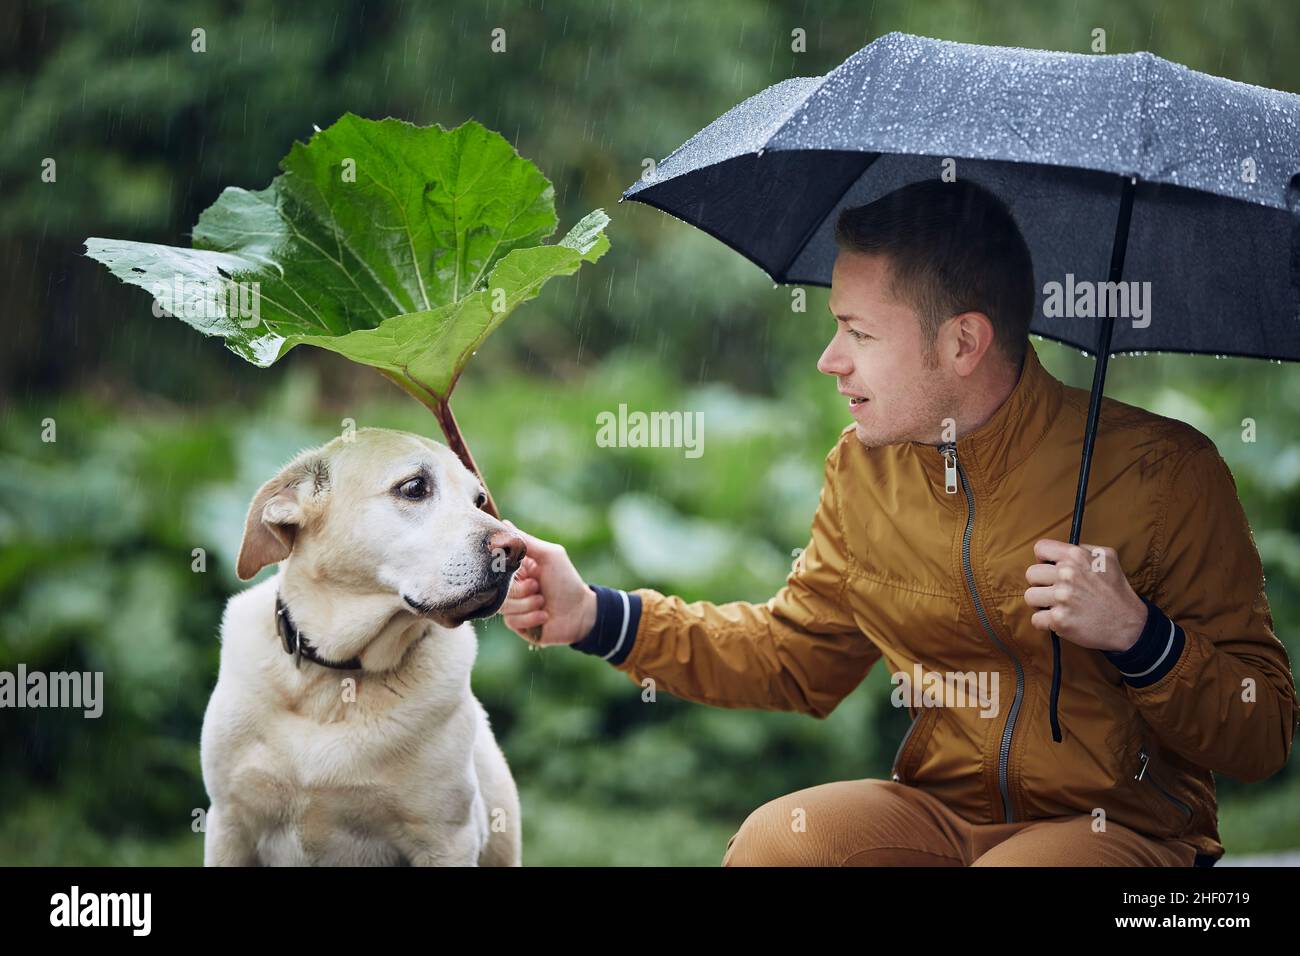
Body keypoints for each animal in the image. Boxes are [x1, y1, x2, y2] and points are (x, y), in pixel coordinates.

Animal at [198, 429, 522, 868]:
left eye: (479, 501)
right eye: (414, 487)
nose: (518, 549)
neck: (336, 678)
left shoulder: (447, 840)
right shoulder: (229, 826)